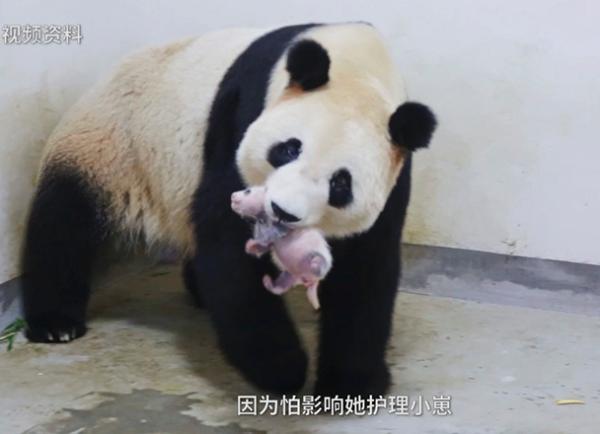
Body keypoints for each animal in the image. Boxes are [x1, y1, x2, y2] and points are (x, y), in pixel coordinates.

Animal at [22, 22, 436, 396]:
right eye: (288, 148)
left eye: (340, 184)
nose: (282, 211)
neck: (357, 66)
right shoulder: (240, 114)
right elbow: (227, 241)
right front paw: (282, 368)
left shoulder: (395, 173)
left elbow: (365, 271)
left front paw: (351, 384)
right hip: (110, 147)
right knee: (63, 224)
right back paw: (55, 323)